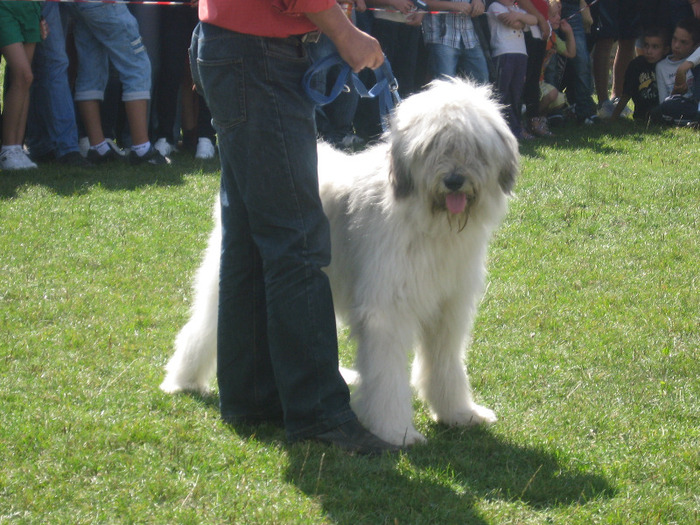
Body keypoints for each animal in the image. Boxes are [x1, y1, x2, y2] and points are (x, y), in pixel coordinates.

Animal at [160, 78, 520, 444]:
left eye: (474, 147)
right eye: (433, 145)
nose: (454, 180)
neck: (431, 224)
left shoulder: (449, 307)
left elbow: (445, 362)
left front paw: (459, 413)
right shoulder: (386, 308)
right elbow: (387, 373)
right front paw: (395, 431)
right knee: (206, 324)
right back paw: (183, 380)